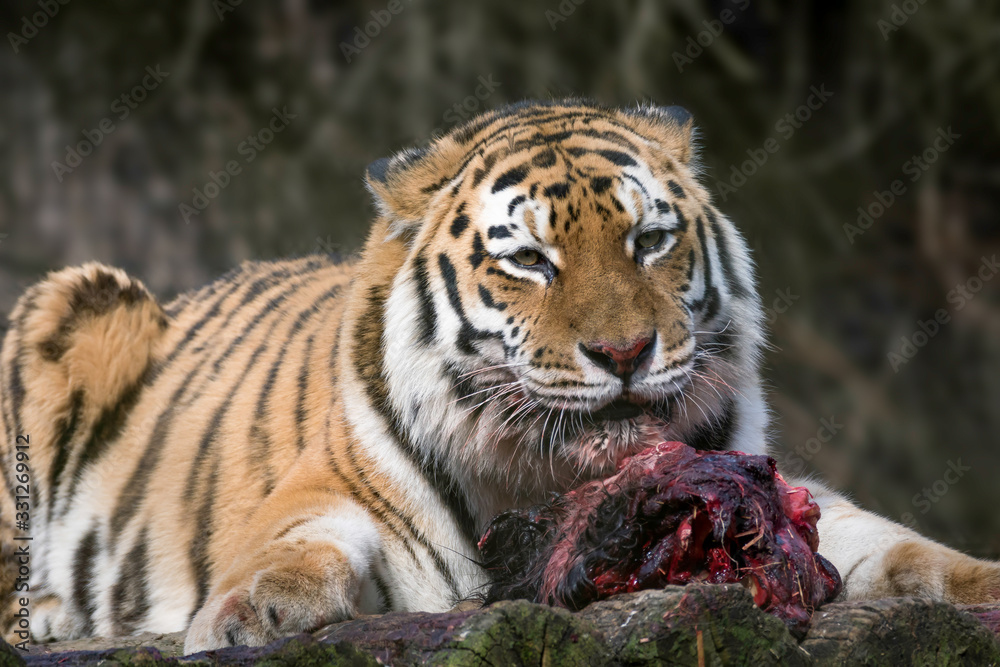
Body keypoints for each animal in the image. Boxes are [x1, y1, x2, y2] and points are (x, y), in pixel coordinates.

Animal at [5, 99, 1000, 652]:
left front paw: (982, 580)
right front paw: (251, 614)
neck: (549, 476)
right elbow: (294, 546)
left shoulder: (778, 487)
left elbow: (901, 544)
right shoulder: (334, 493)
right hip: (68, 299)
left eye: (650, 240)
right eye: (529, 259)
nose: (626, 352)